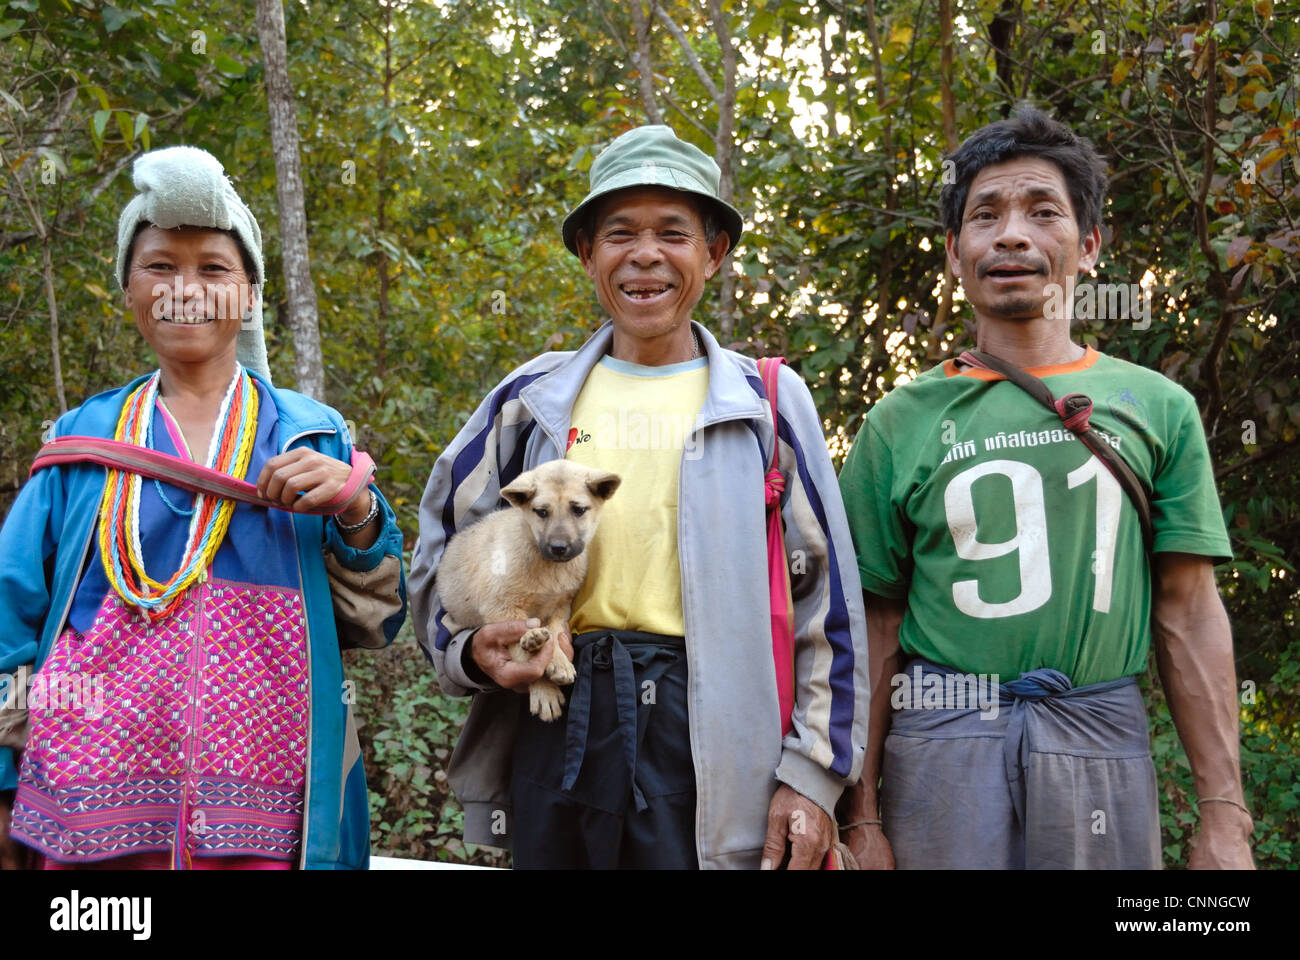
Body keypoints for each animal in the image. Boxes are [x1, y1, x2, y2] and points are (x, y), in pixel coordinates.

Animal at [436, 457, 618, 718]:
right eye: (541, 512)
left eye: (579, 510)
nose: (558, 548)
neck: (549, 568)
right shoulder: (499, 607)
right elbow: (524, 659)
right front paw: (545, 688)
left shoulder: (560, 607)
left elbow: (554, 634)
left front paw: (558, 661)